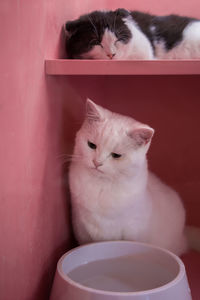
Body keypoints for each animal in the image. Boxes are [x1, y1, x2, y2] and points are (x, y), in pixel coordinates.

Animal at [69, 99, 188, 254]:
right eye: (91, 145)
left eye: (116, 155)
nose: (97, 162)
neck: (102, 186)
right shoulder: (82, 230)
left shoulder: (133, 231)